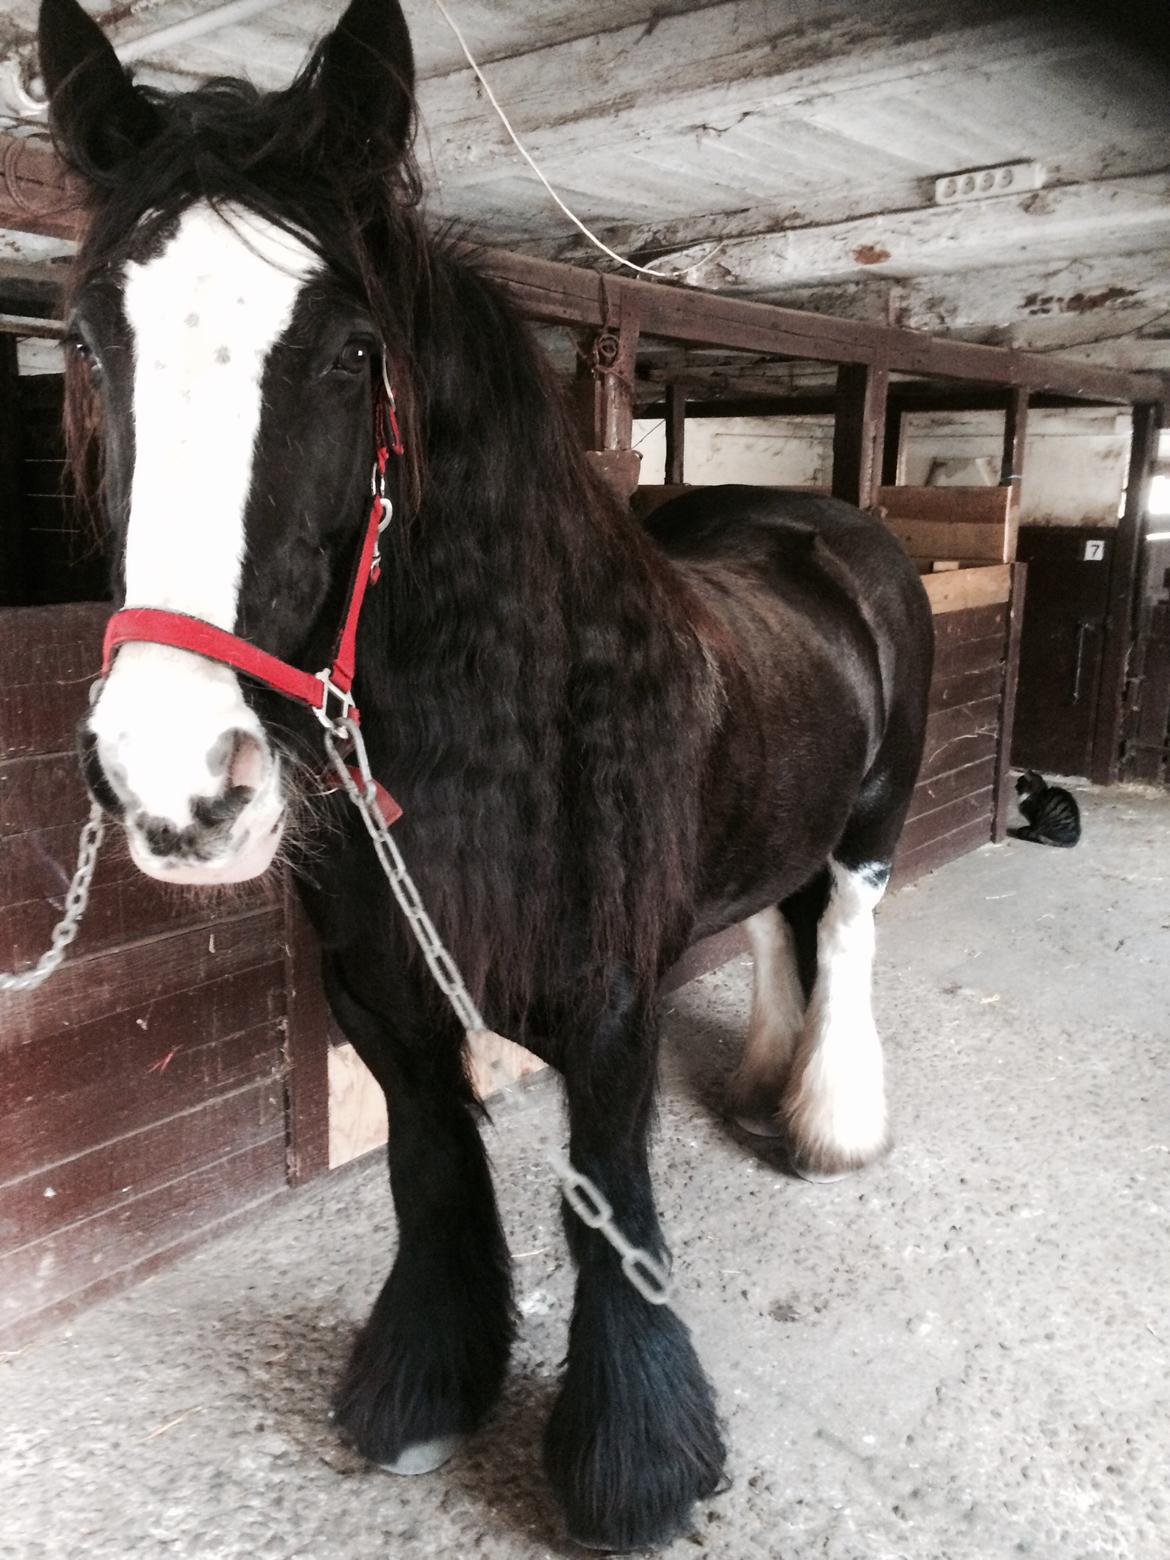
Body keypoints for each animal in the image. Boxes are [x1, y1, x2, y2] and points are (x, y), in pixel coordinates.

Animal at [39, 3, 935, 1547]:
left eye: (350, 353)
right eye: (93, 345)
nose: (178, 787)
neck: (514, 737)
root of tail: (831, 526)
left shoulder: (611, 1005)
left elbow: (609, 1207)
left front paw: (635, 1466)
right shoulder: (383, 1002)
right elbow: (433, 1175)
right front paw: (419, 1394)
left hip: (876, 817)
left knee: (853, 935)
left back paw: (823, 1123)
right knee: (781, 923)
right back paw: (765, 1076)